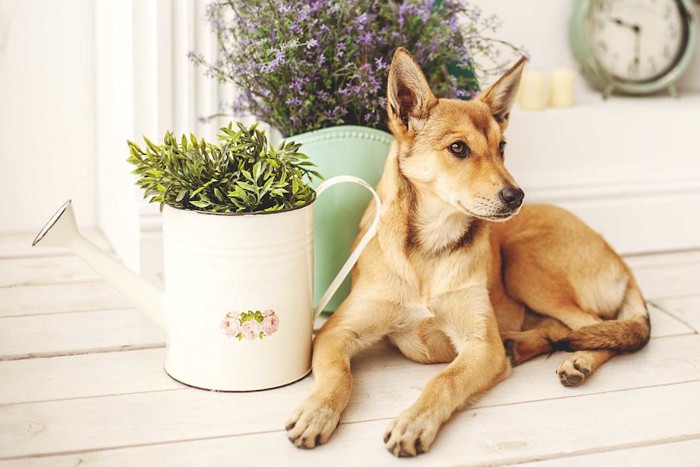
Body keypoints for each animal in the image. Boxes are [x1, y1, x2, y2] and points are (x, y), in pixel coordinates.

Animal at [284, 47, 652, 458]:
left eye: (502, 148)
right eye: (458, 148)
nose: (516, 196)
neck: (430, 245)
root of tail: (619, 260)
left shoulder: (481, 346)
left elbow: (444, 380)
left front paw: (414, 421)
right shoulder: (335, 332)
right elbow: (338, 374)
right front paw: (317, 410)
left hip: (524, 262)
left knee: (597, 327)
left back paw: (578, 358)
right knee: (572, 327)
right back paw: (525, 346)